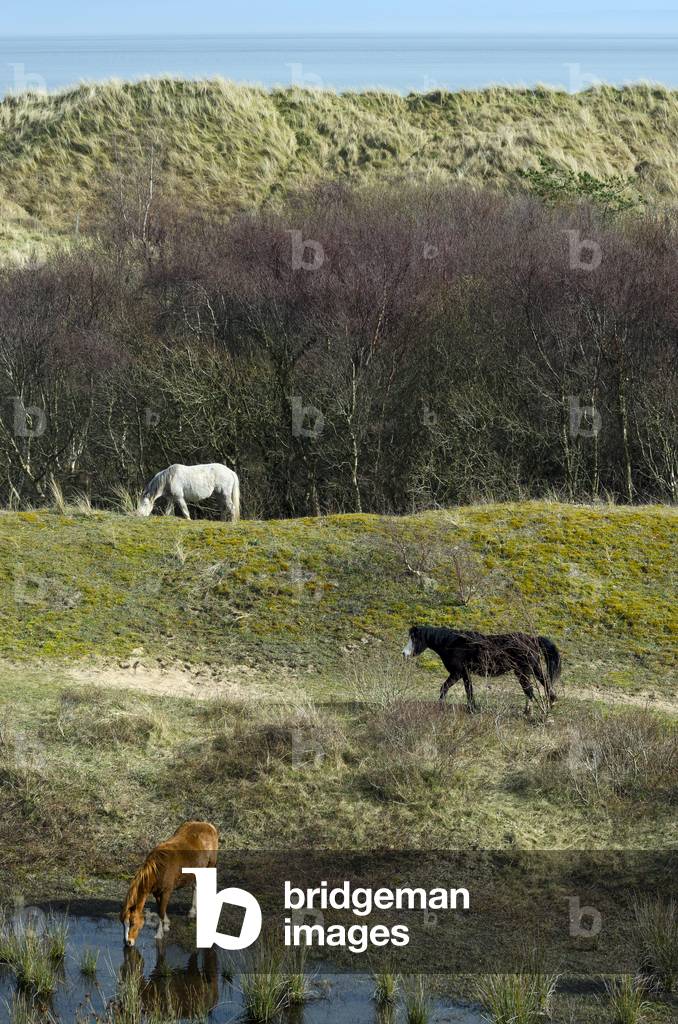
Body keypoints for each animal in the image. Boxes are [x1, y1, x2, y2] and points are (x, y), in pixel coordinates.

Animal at [402, 625, 561, 713]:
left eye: (414, 638)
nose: (404, 653)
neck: (453, 644)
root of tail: (533, 639)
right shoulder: (464, 673)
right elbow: (468, 690)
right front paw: (472, 708)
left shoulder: (458, 672)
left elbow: (446, 688)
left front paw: (441, 706)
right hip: (529, 669)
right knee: (538, 686)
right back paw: (546, 705)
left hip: (524, 670)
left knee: (533, 688)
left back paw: (532, 710)